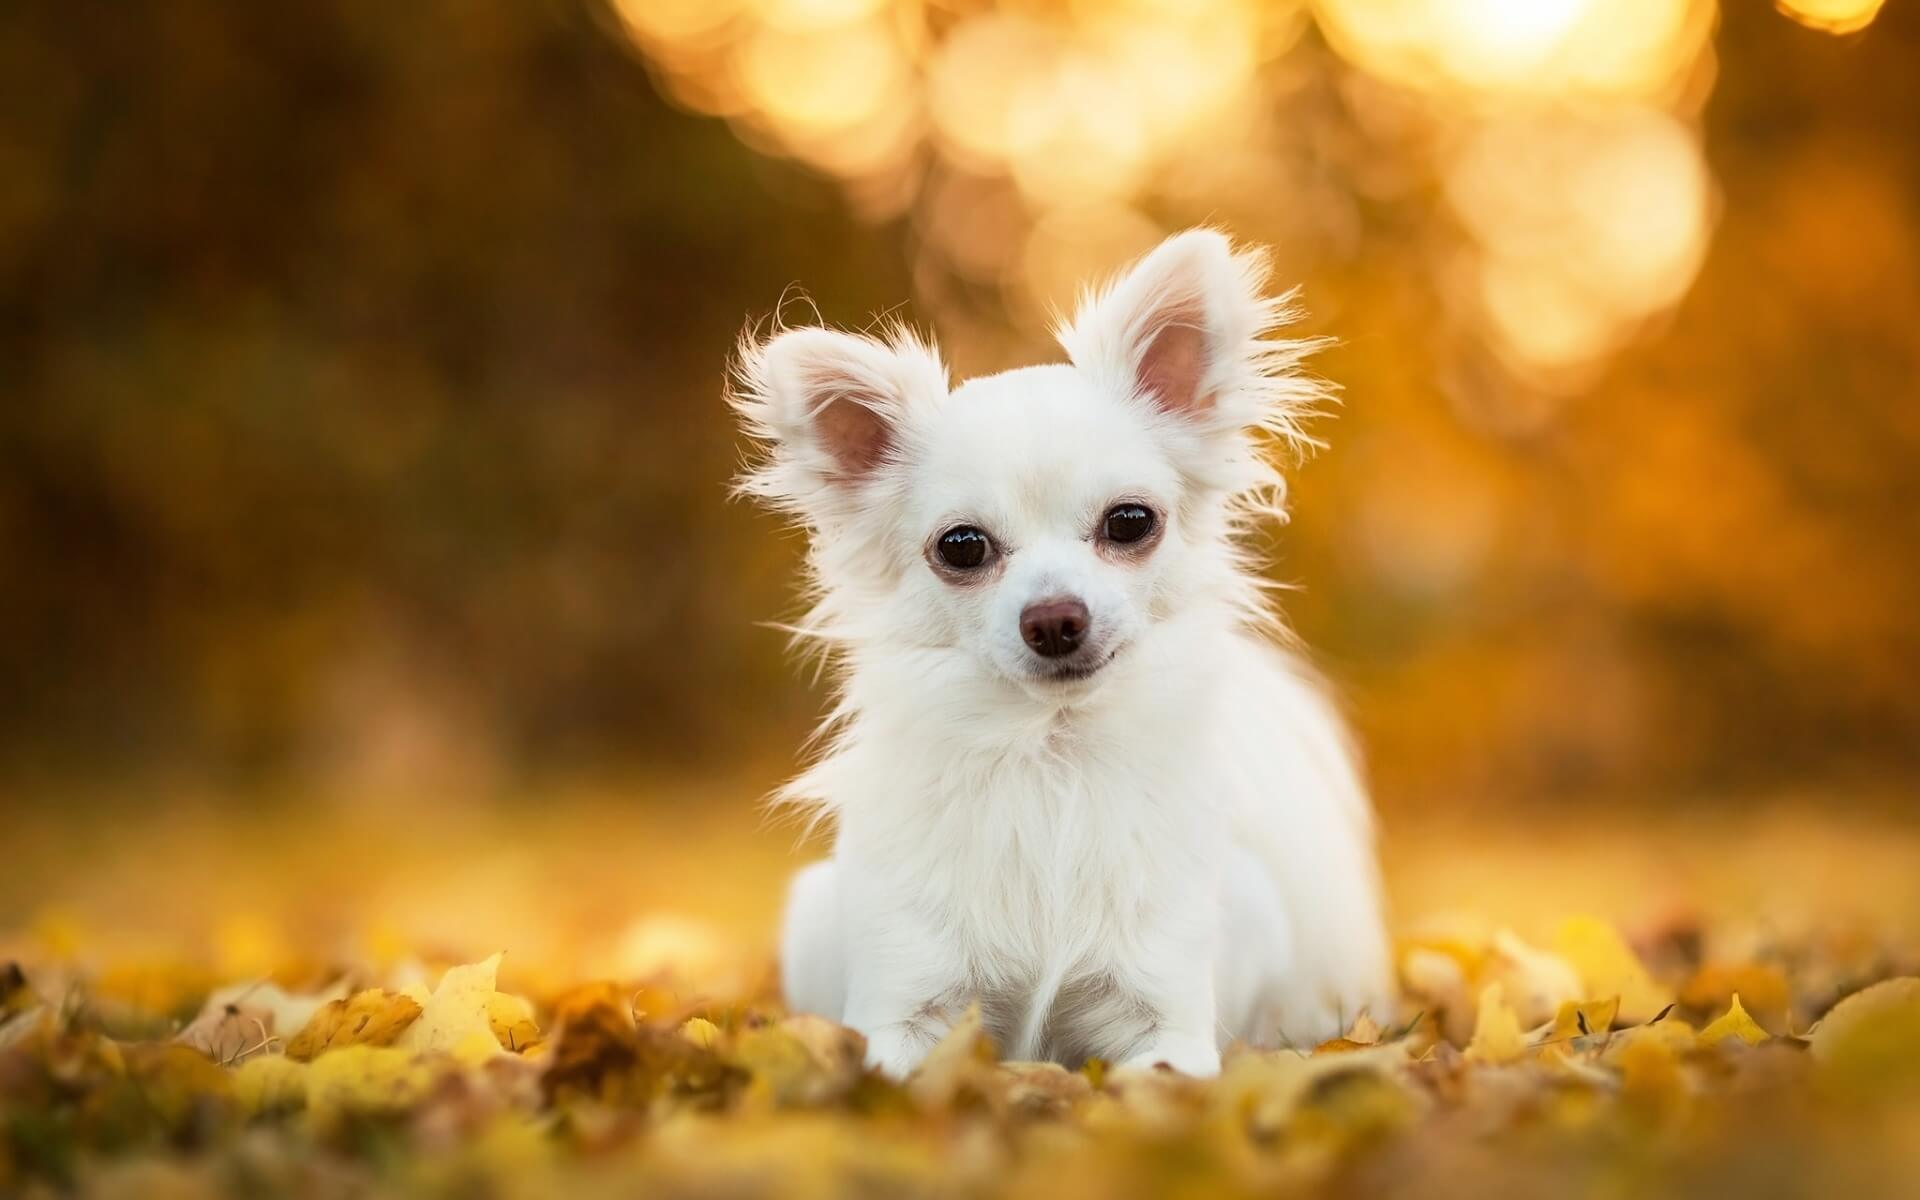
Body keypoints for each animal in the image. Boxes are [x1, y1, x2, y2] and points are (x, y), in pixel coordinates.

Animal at [725, 226, 1390, 1075]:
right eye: (962, 546)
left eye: (1131, 522)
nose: (1053, 619)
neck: (1052, 758)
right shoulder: (906, 1011)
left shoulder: (1166, 1024)